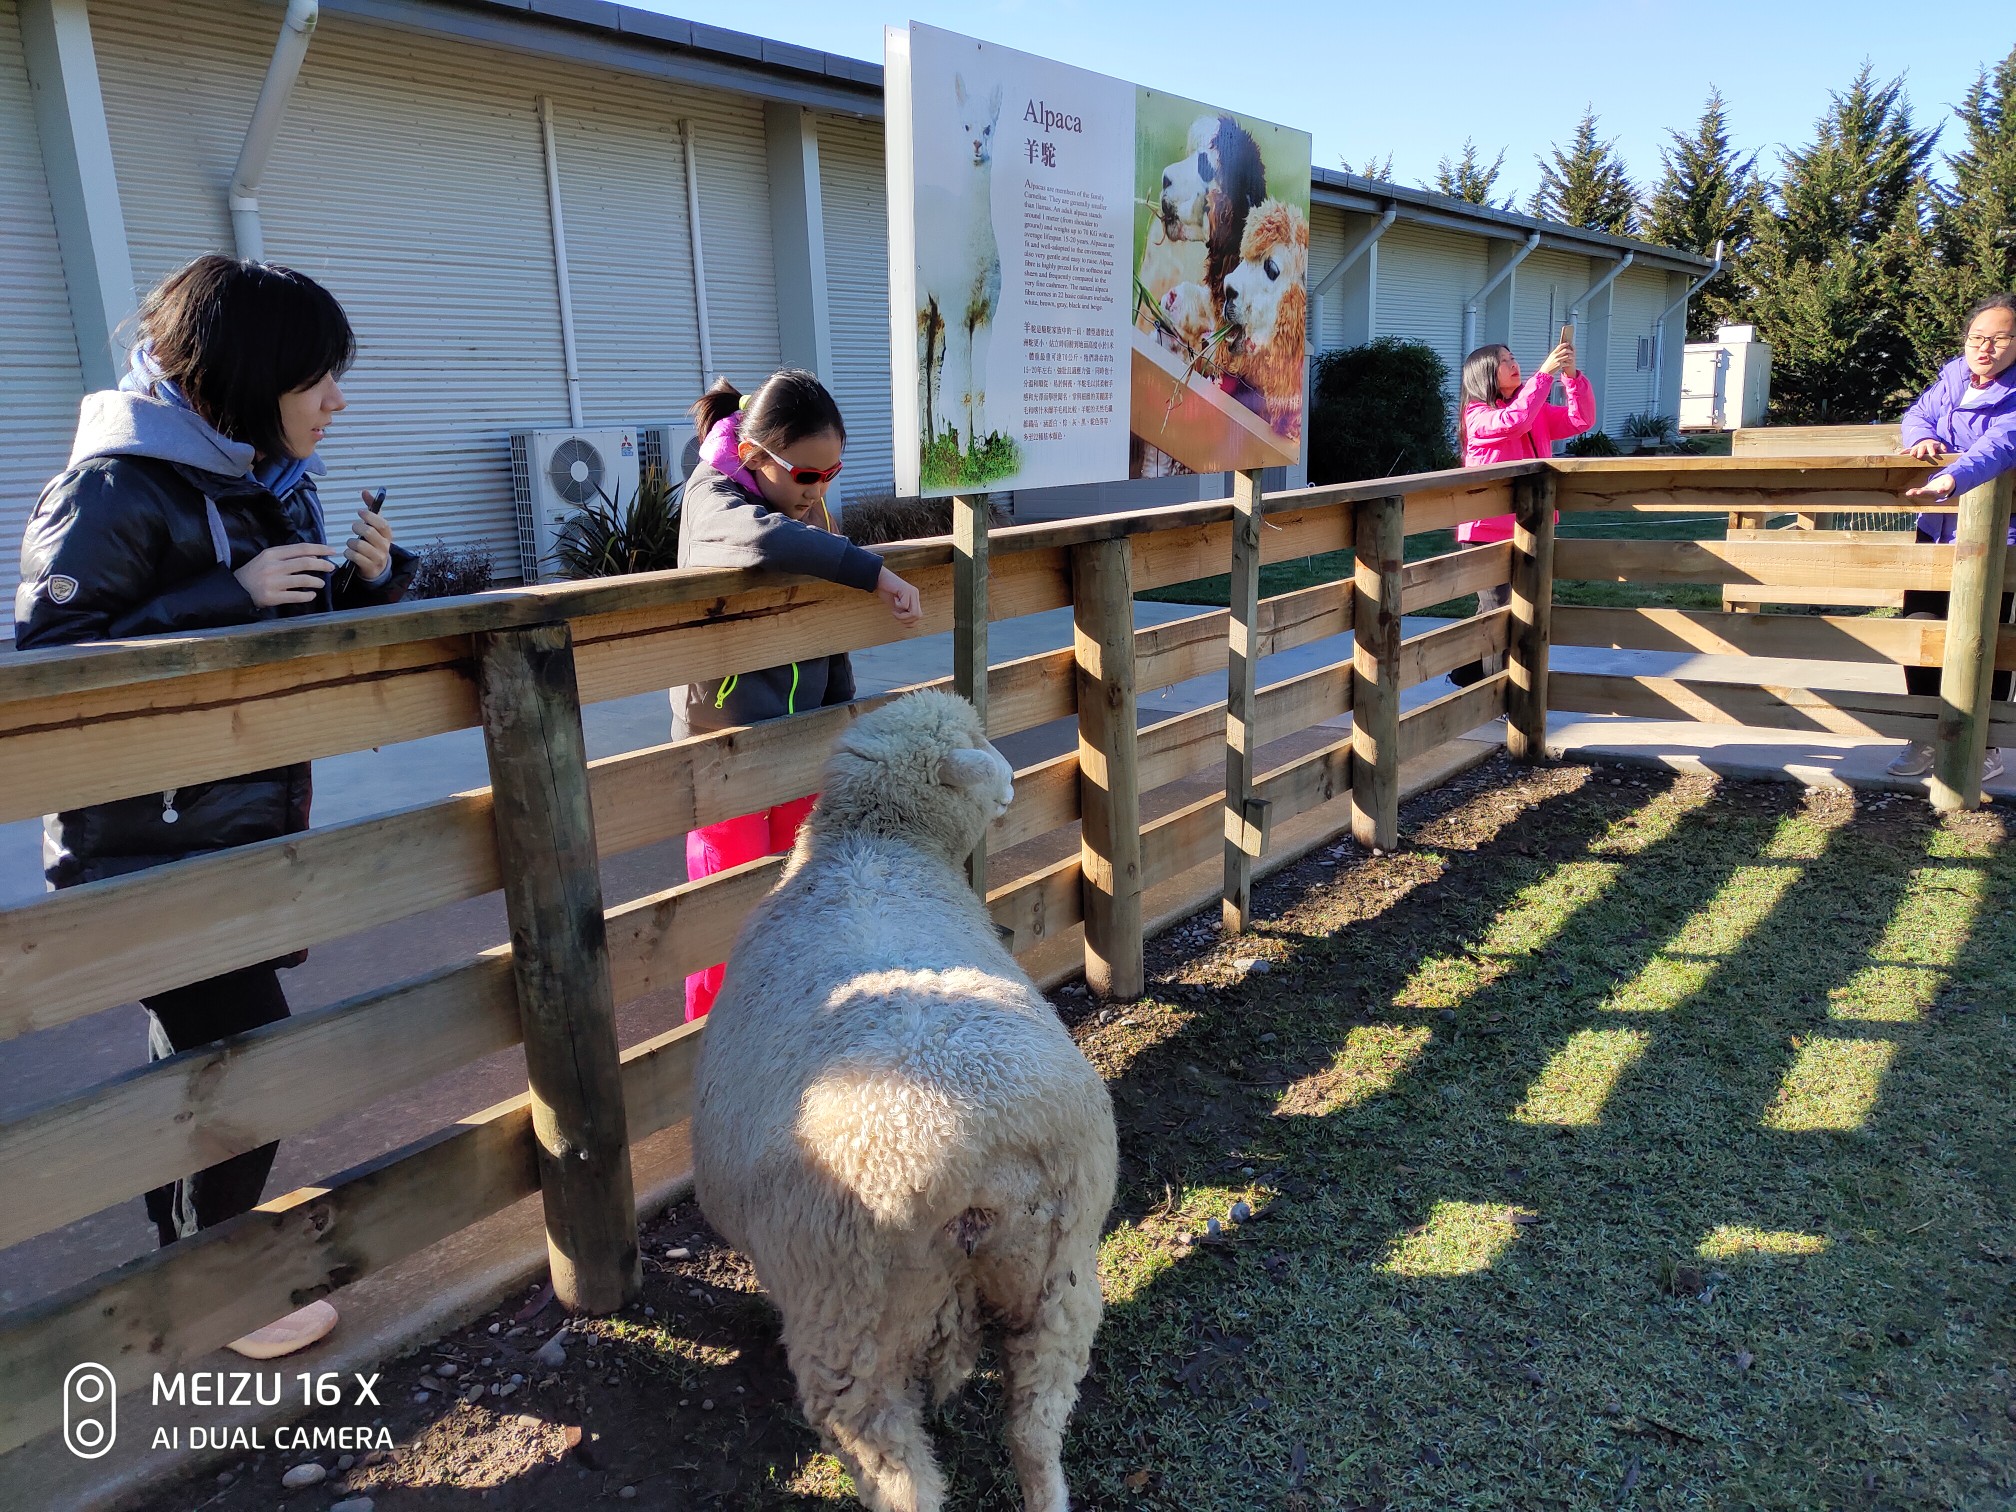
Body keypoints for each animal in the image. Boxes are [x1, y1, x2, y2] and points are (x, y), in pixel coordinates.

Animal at [693, 693, 1120, 1512]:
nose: (1010, 784)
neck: (874, 847)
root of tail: (973, 1174)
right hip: (1058, 1281)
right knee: (1035, 1432)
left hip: (849, 1326)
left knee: (901, 1474)